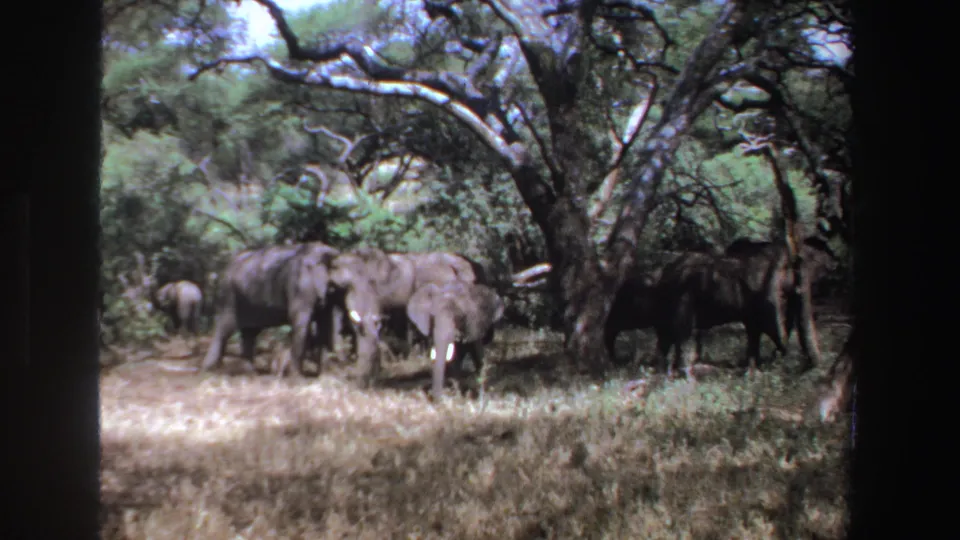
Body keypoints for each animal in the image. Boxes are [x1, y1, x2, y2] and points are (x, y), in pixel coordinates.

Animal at [200, 242, 340, 378]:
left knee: (249, 333)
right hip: (230, 295)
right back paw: (210, 369)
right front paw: (298, 375)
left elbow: (324, 321)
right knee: (225, 328)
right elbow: (299, 318)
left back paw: (250, 372)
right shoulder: (299, 285)